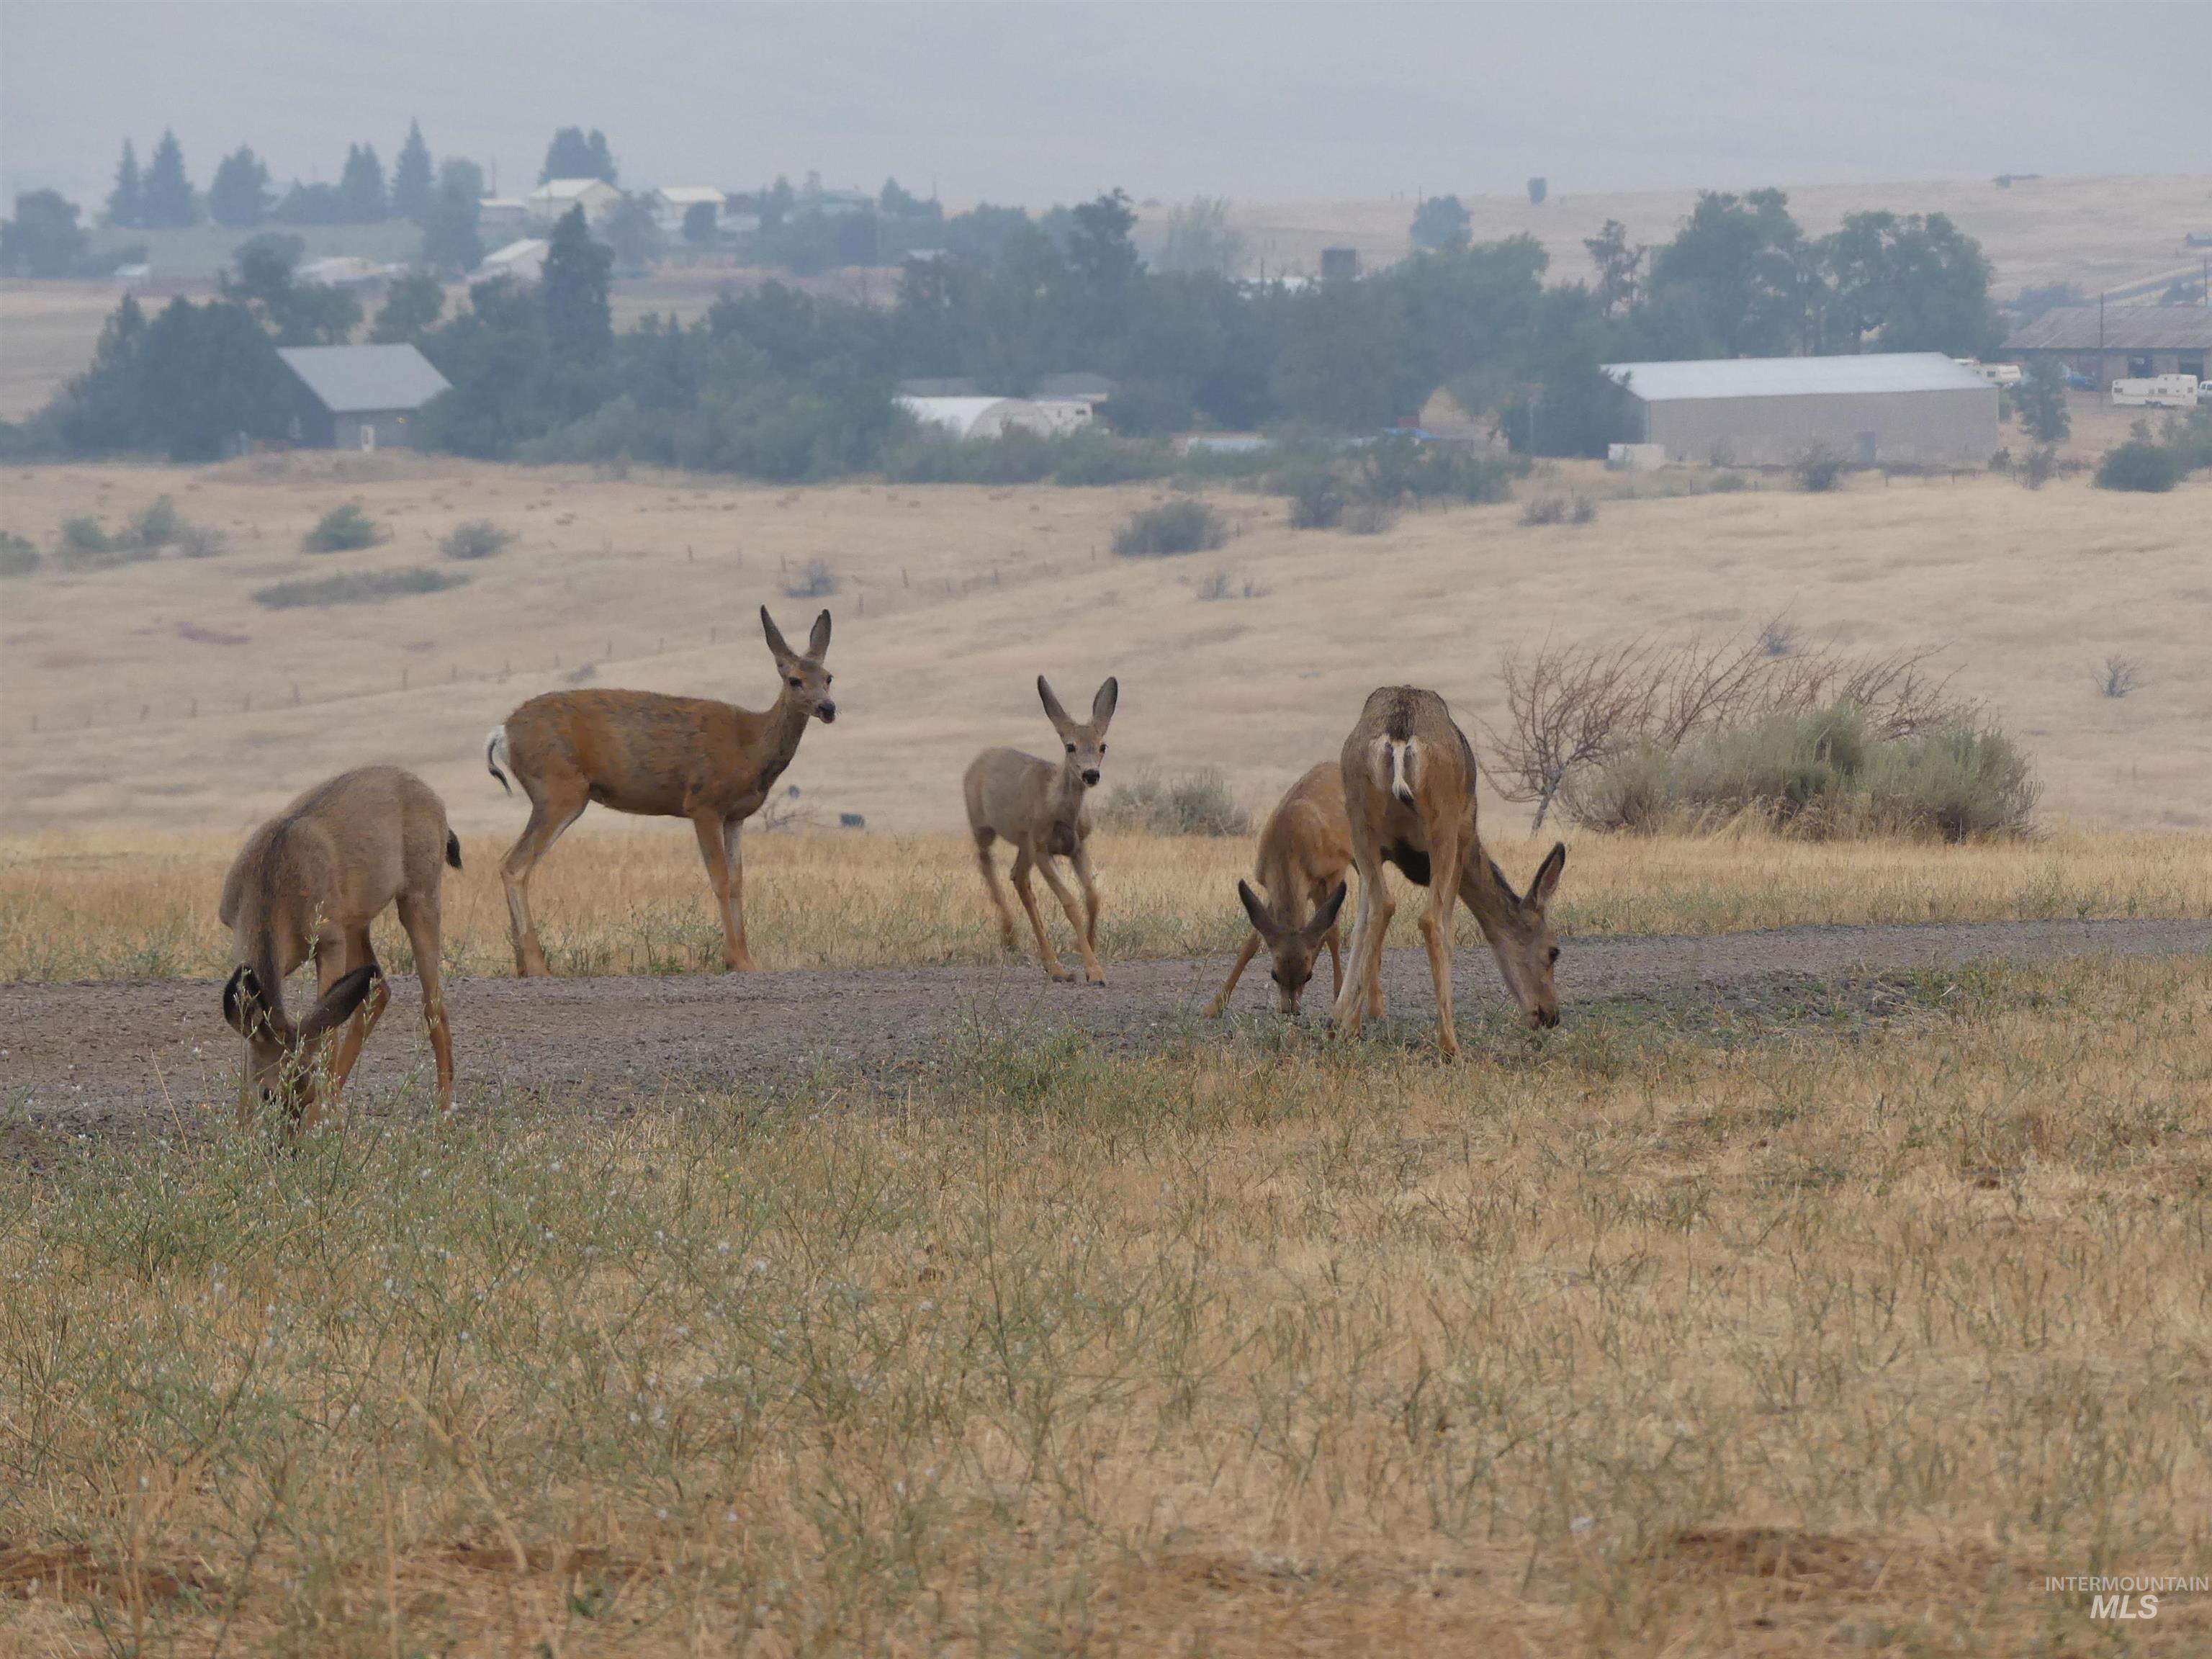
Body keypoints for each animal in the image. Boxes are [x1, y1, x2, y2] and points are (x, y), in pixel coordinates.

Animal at [219, 765, 457, 1132]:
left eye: (305, 1093)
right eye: (268, 1094)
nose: (285, 1142)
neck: (273, 880)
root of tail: (432, 796)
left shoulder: (328, 940)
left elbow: (327, 1035)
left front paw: (320, 1118)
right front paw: (242, 1126)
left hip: (420, 895)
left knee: (433, 1004)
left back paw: (442, 1114)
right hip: (357, 922)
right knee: (378, 988)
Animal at [488, 606, 832, 973]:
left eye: (828, 677)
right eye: (794, 679)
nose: (828, 708)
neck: (751, 746)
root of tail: (502, 733)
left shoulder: (736, 816)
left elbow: (738, 881)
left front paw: (746, 959)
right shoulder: (703, 803)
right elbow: (720, 879)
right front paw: (736, 960)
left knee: (511, 862)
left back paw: (522, 966)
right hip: (559, 790)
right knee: (515, 865)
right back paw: (538, 967)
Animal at [960, 677, 1115, 986]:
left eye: (1102, 746)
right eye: (1070, 746)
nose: (1091, 774)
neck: (1060, 809)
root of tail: (978, 759)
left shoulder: (1077, 847)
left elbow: (1093, 896)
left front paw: (1088, 947)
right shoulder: (1043, 847)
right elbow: (1070, 903)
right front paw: (1094, 970)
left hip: (1024, 842)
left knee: (1018, 878)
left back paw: (1051, 964)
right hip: (984, 826)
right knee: (987, 864)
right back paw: (1012, 937)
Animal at [1203, 765, 1354, 1026]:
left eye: (1309, 976)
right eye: (1274, 974)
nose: (1289, 1010)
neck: (1290, 844)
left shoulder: (1335, 871)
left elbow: (1334, 932)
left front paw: (1337, 1000)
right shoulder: (1270, 884)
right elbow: (1252, 941)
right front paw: (1215, 1004)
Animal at [1327, 690, 1575, 1066]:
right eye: (1554, 951)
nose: (1550, 1015)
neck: (1476, 851)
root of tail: (1399, 734)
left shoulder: (1374, 855)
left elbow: (1361, 921)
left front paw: (1341, 1020)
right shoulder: (1462, 841)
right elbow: (1446, 927)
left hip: (1360, 819)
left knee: (1381, 906)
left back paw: (1349, 1029)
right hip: (1442, 824)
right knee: (1430, 920)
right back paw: (1450, 1045)